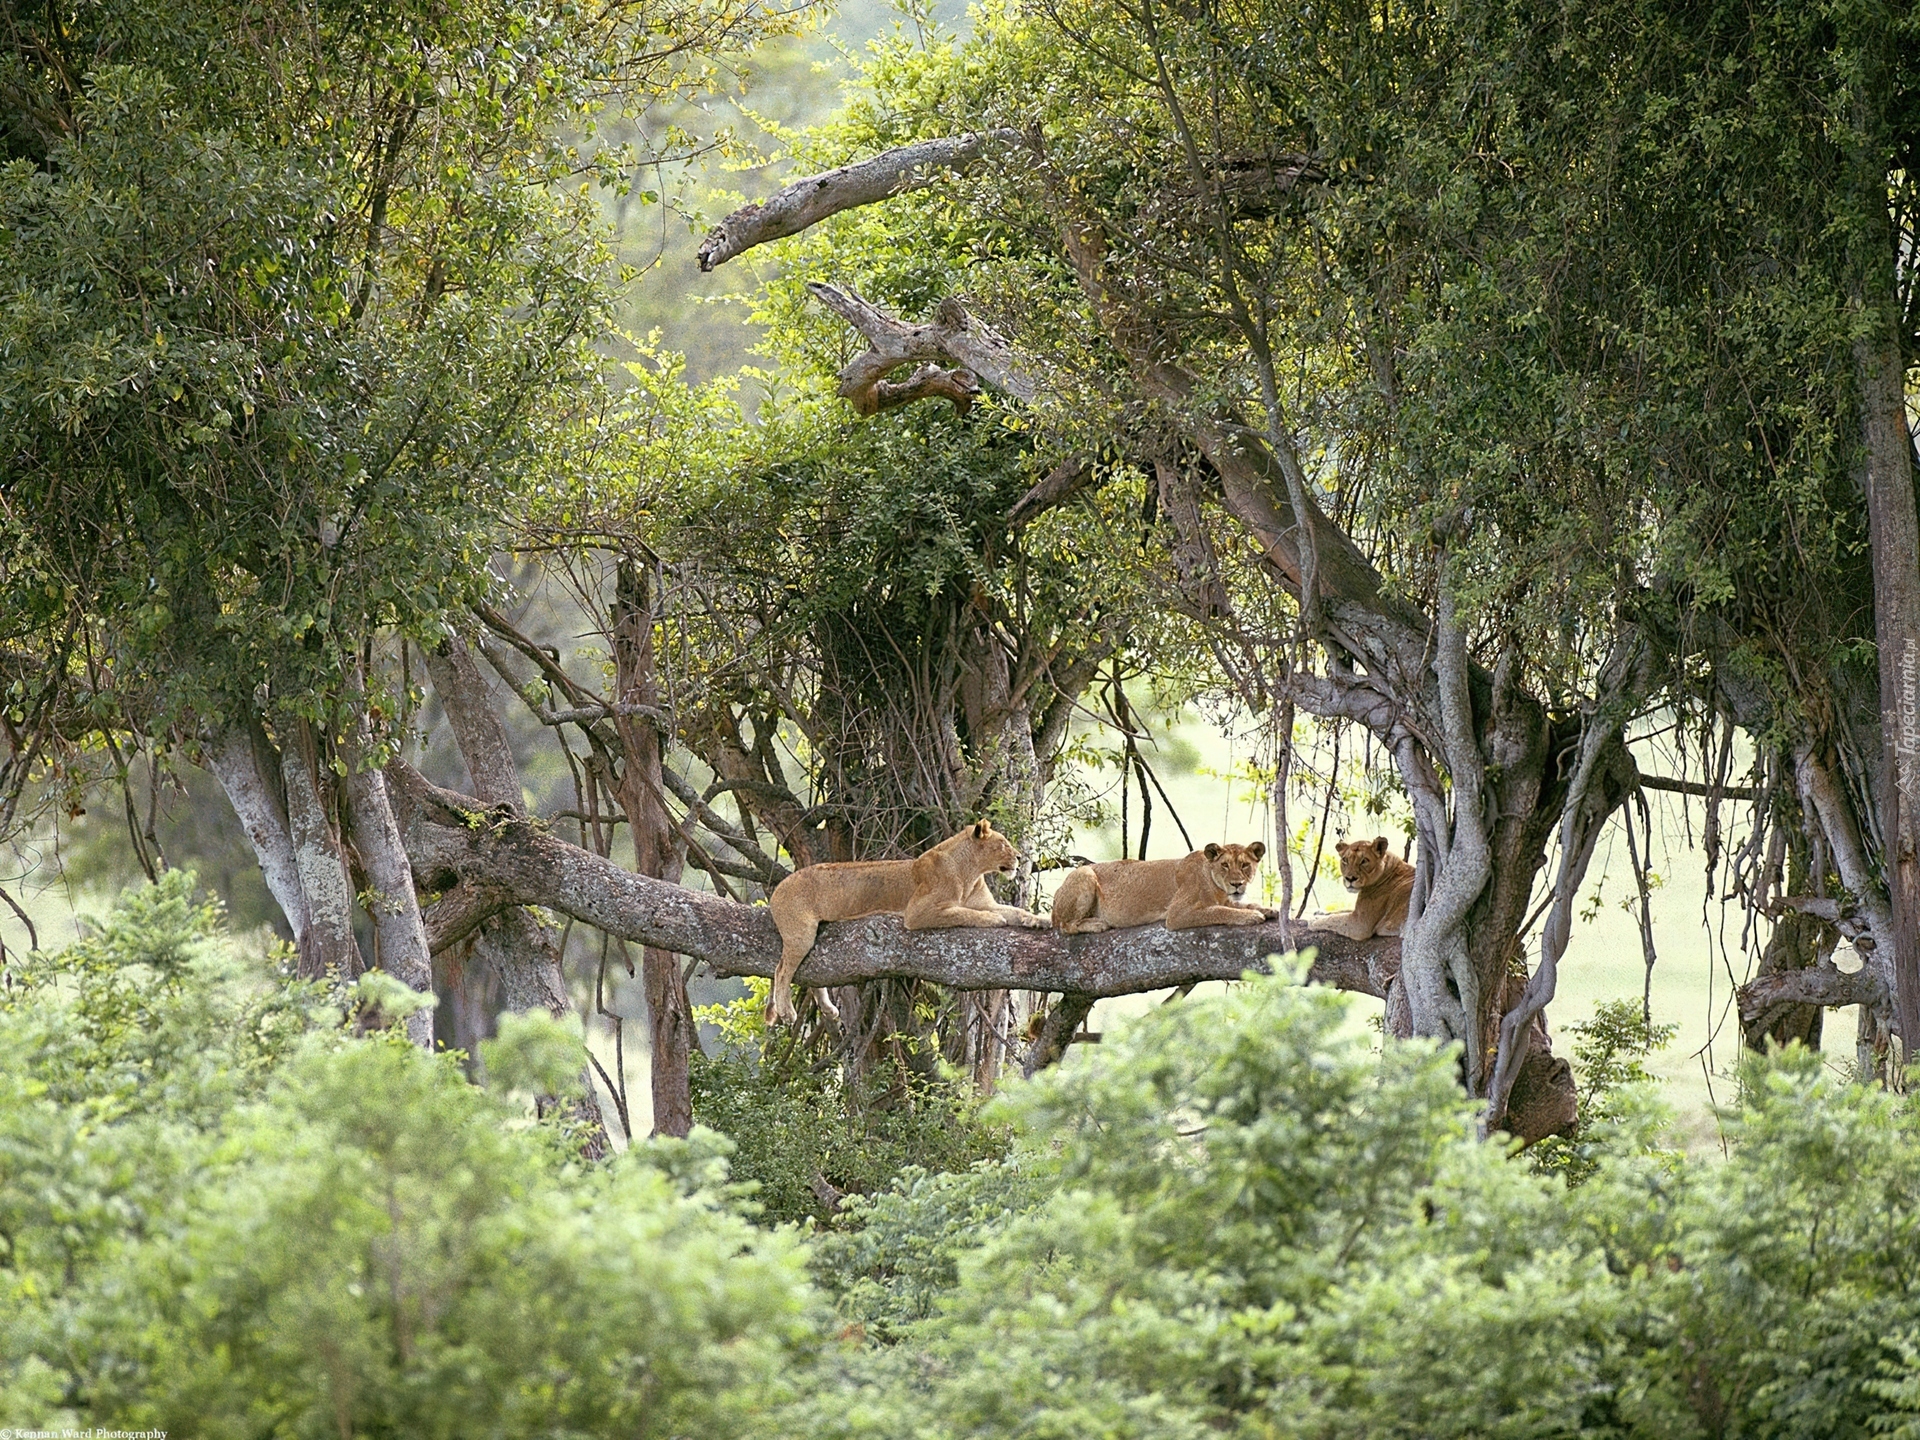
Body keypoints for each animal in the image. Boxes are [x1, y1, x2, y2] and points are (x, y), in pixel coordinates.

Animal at [760, 821, 1052, 1029]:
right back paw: (787, 1012)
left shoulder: (985, 903)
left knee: (811, 975)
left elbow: (1016, 911)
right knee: (781, 970)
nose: (1019, 857)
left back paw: (829, 1010)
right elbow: (963, 913)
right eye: (1003, 844)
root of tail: (778, 887)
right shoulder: (917, 912)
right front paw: (992, 921)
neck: (971, 872)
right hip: (801, 934)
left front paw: (1041, 920)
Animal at [1052, 840, 1274, 940]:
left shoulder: (1228, 898)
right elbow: (1219, 911)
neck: (1217, 886)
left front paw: (1269, 910)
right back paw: (1097, 924)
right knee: (1065, 926)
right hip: (1084, 873)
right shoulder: (1177, 914)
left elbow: (1243, 903)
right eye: (1225, 865)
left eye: (1245, 865)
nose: (1237, 884)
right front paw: (1252, 916)